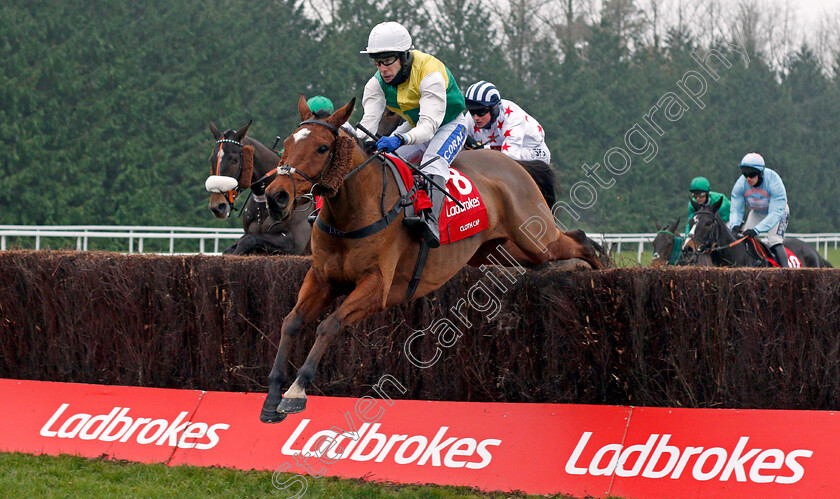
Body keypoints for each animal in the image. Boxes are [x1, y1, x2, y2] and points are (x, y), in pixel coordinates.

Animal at [207, 119, 316, 256]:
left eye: (234, 160)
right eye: (212, 159)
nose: (217, 206)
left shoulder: (295, 244)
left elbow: (248, 240)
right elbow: (232, 247)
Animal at [258, 95, 604, 424]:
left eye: (322, 147)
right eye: (288, 143)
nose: (276, 196)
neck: (353, 212)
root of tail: (513, 164)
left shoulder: (376, 287)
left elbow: (329, 325)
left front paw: (296, 391)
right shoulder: (321, 278)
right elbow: (291, 322)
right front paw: (273, 396)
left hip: (535, 237)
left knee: (582, 243)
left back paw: (598, 274)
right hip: (501, 250)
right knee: (574, 240)